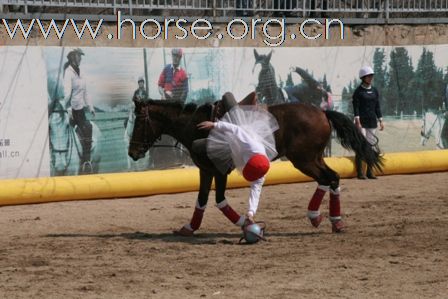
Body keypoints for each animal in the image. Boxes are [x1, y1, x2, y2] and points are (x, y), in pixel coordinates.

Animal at [128, 92, 384, 237]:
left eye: (138, 122)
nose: (132, 152)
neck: (196, 125)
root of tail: (322, 112)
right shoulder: (206, 170)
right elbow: (202, 200)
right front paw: (189, 228)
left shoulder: (217, 170)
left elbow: (219, 201)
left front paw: (246, 224)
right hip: (314, 158)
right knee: (331, 178)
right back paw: (329, 220)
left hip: (303, 159)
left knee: (327, 178)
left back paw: (322, 218)